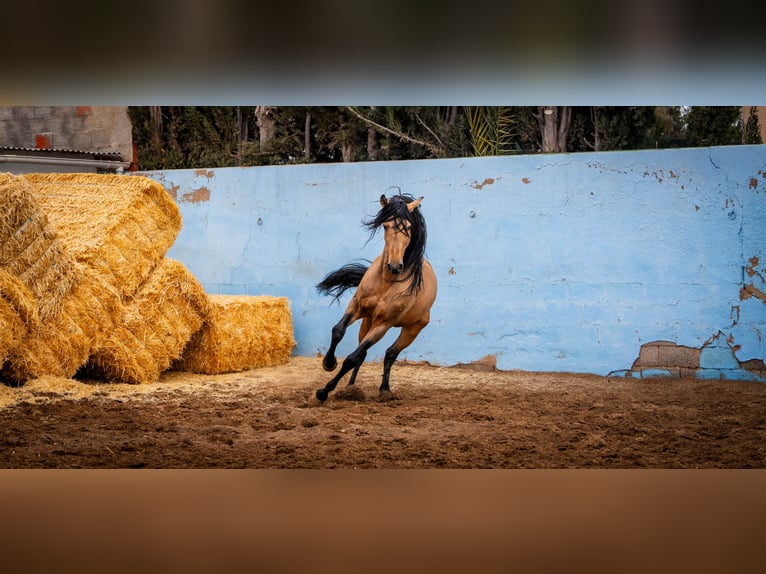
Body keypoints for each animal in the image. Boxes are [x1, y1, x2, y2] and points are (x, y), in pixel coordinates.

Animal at [316, 192, 438, 400]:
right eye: (386, 225)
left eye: (408, 227)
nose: (395, 266)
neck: (386, 282)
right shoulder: (356, 306)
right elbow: (338, 330)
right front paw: (329, 363)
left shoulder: (383, 324)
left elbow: (351, 358)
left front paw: (323, 392)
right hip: (367, 320)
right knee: (365, 354)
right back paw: (351, 387)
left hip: (412, 329)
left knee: (390, 354)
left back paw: (385, 390)